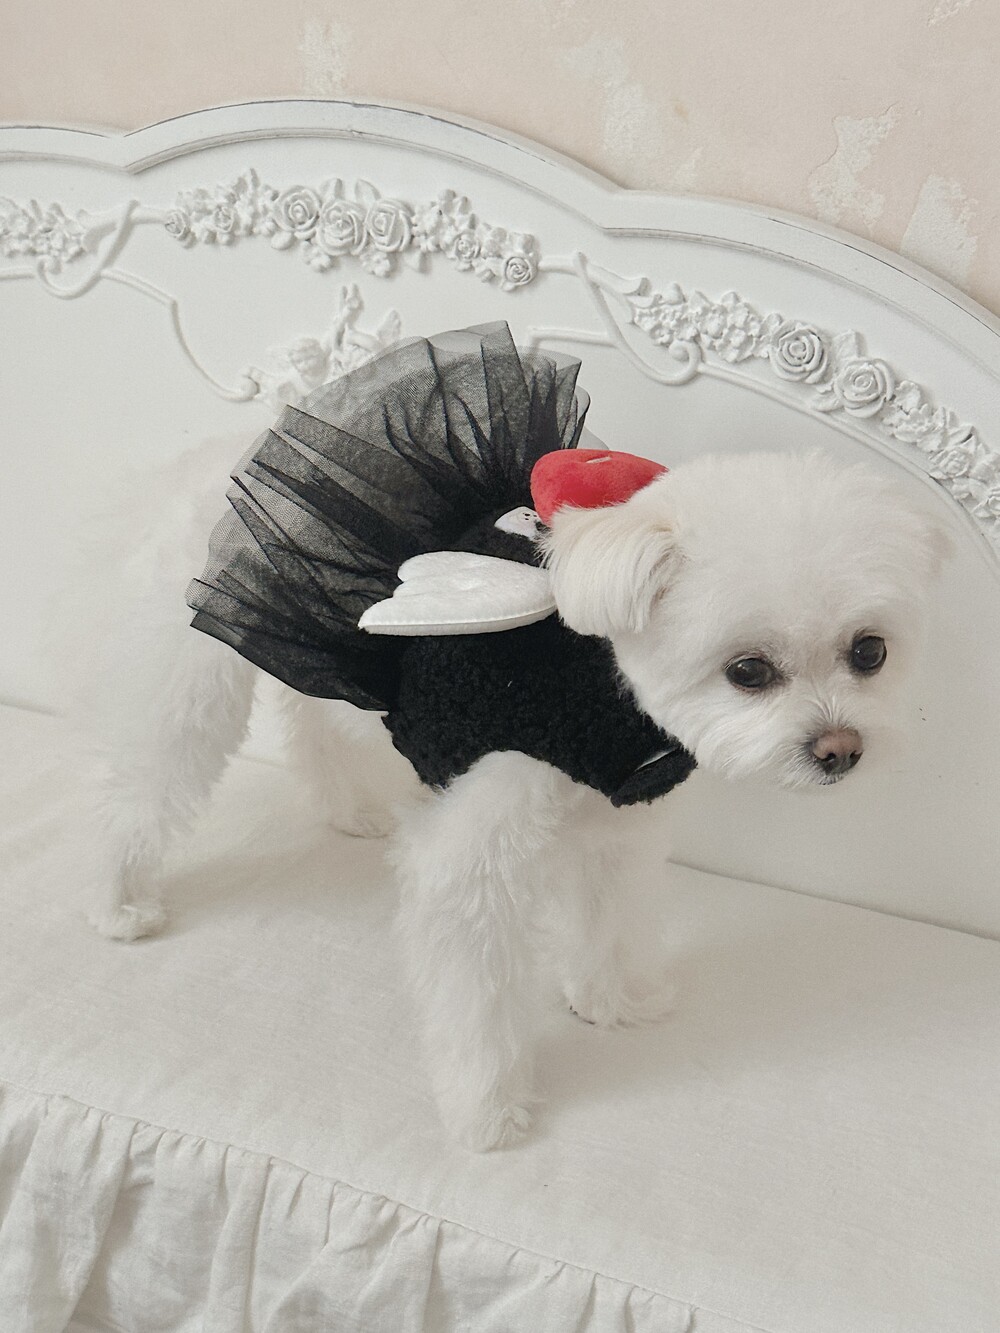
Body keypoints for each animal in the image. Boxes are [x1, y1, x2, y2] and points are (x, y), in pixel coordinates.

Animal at [71, 440, 950, 1150]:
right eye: (748, 670)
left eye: (869, 652)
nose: (839, 749)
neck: (599, 677)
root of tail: (220, 452)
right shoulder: (475, 858)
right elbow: (476, 995)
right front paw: (486, 1110)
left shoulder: (613, 812)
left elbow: (609, 919)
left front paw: (611, 1000)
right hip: (192, 676)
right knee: (140, 780)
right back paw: (118, 899)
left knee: (308, 714)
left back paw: (345, 808)